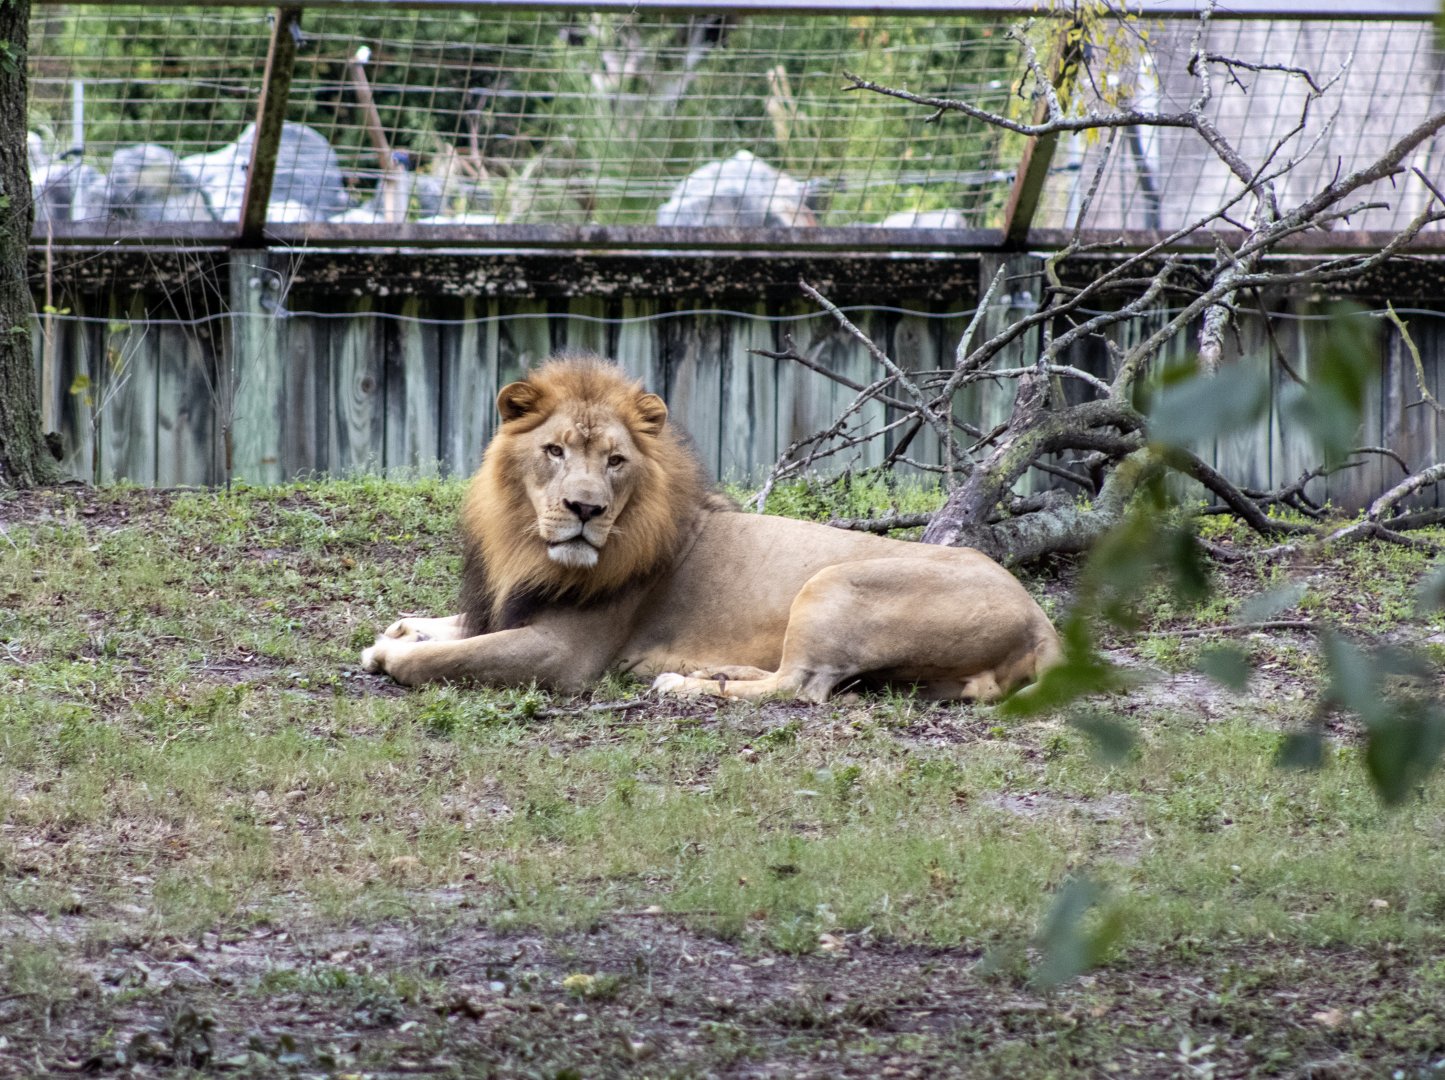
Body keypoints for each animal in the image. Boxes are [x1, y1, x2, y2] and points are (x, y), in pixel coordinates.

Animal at [361, 356, 1060, 702]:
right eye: (555, 451)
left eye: (615, 461)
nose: (585, 510)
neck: (522, 539)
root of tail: (1042, 620)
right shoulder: (509, 604)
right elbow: (451, 627)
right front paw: (402, 629)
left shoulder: (566, 653)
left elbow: (451, 658)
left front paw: (396, 653)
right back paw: (712, 673)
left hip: (833, 583)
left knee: (802, 688)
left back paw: (681, 684)